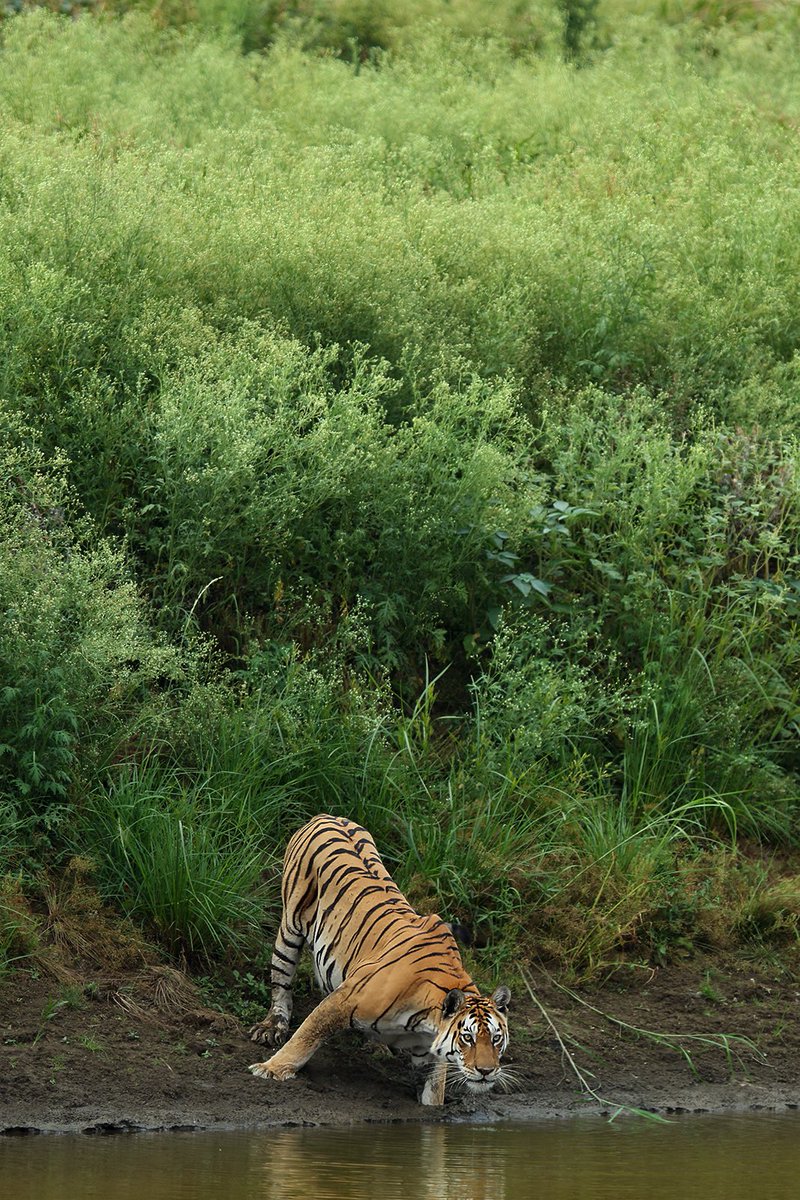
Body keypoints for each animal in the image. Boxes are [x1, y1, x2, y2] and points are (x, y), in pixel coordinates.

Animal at [248, 813, 511, 1106]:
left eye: (496, 1038)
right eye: (468, 1037)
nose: (486, 1071)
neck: (425, 1021)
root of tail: (327, 816)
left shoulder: (428, 1050)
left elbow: (433, 1089)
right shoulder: (341, 1001)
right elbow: (304, 1037)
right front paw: (269, 1069)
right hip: (290, 925)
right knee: (281, 979)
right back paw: (273, 1025)